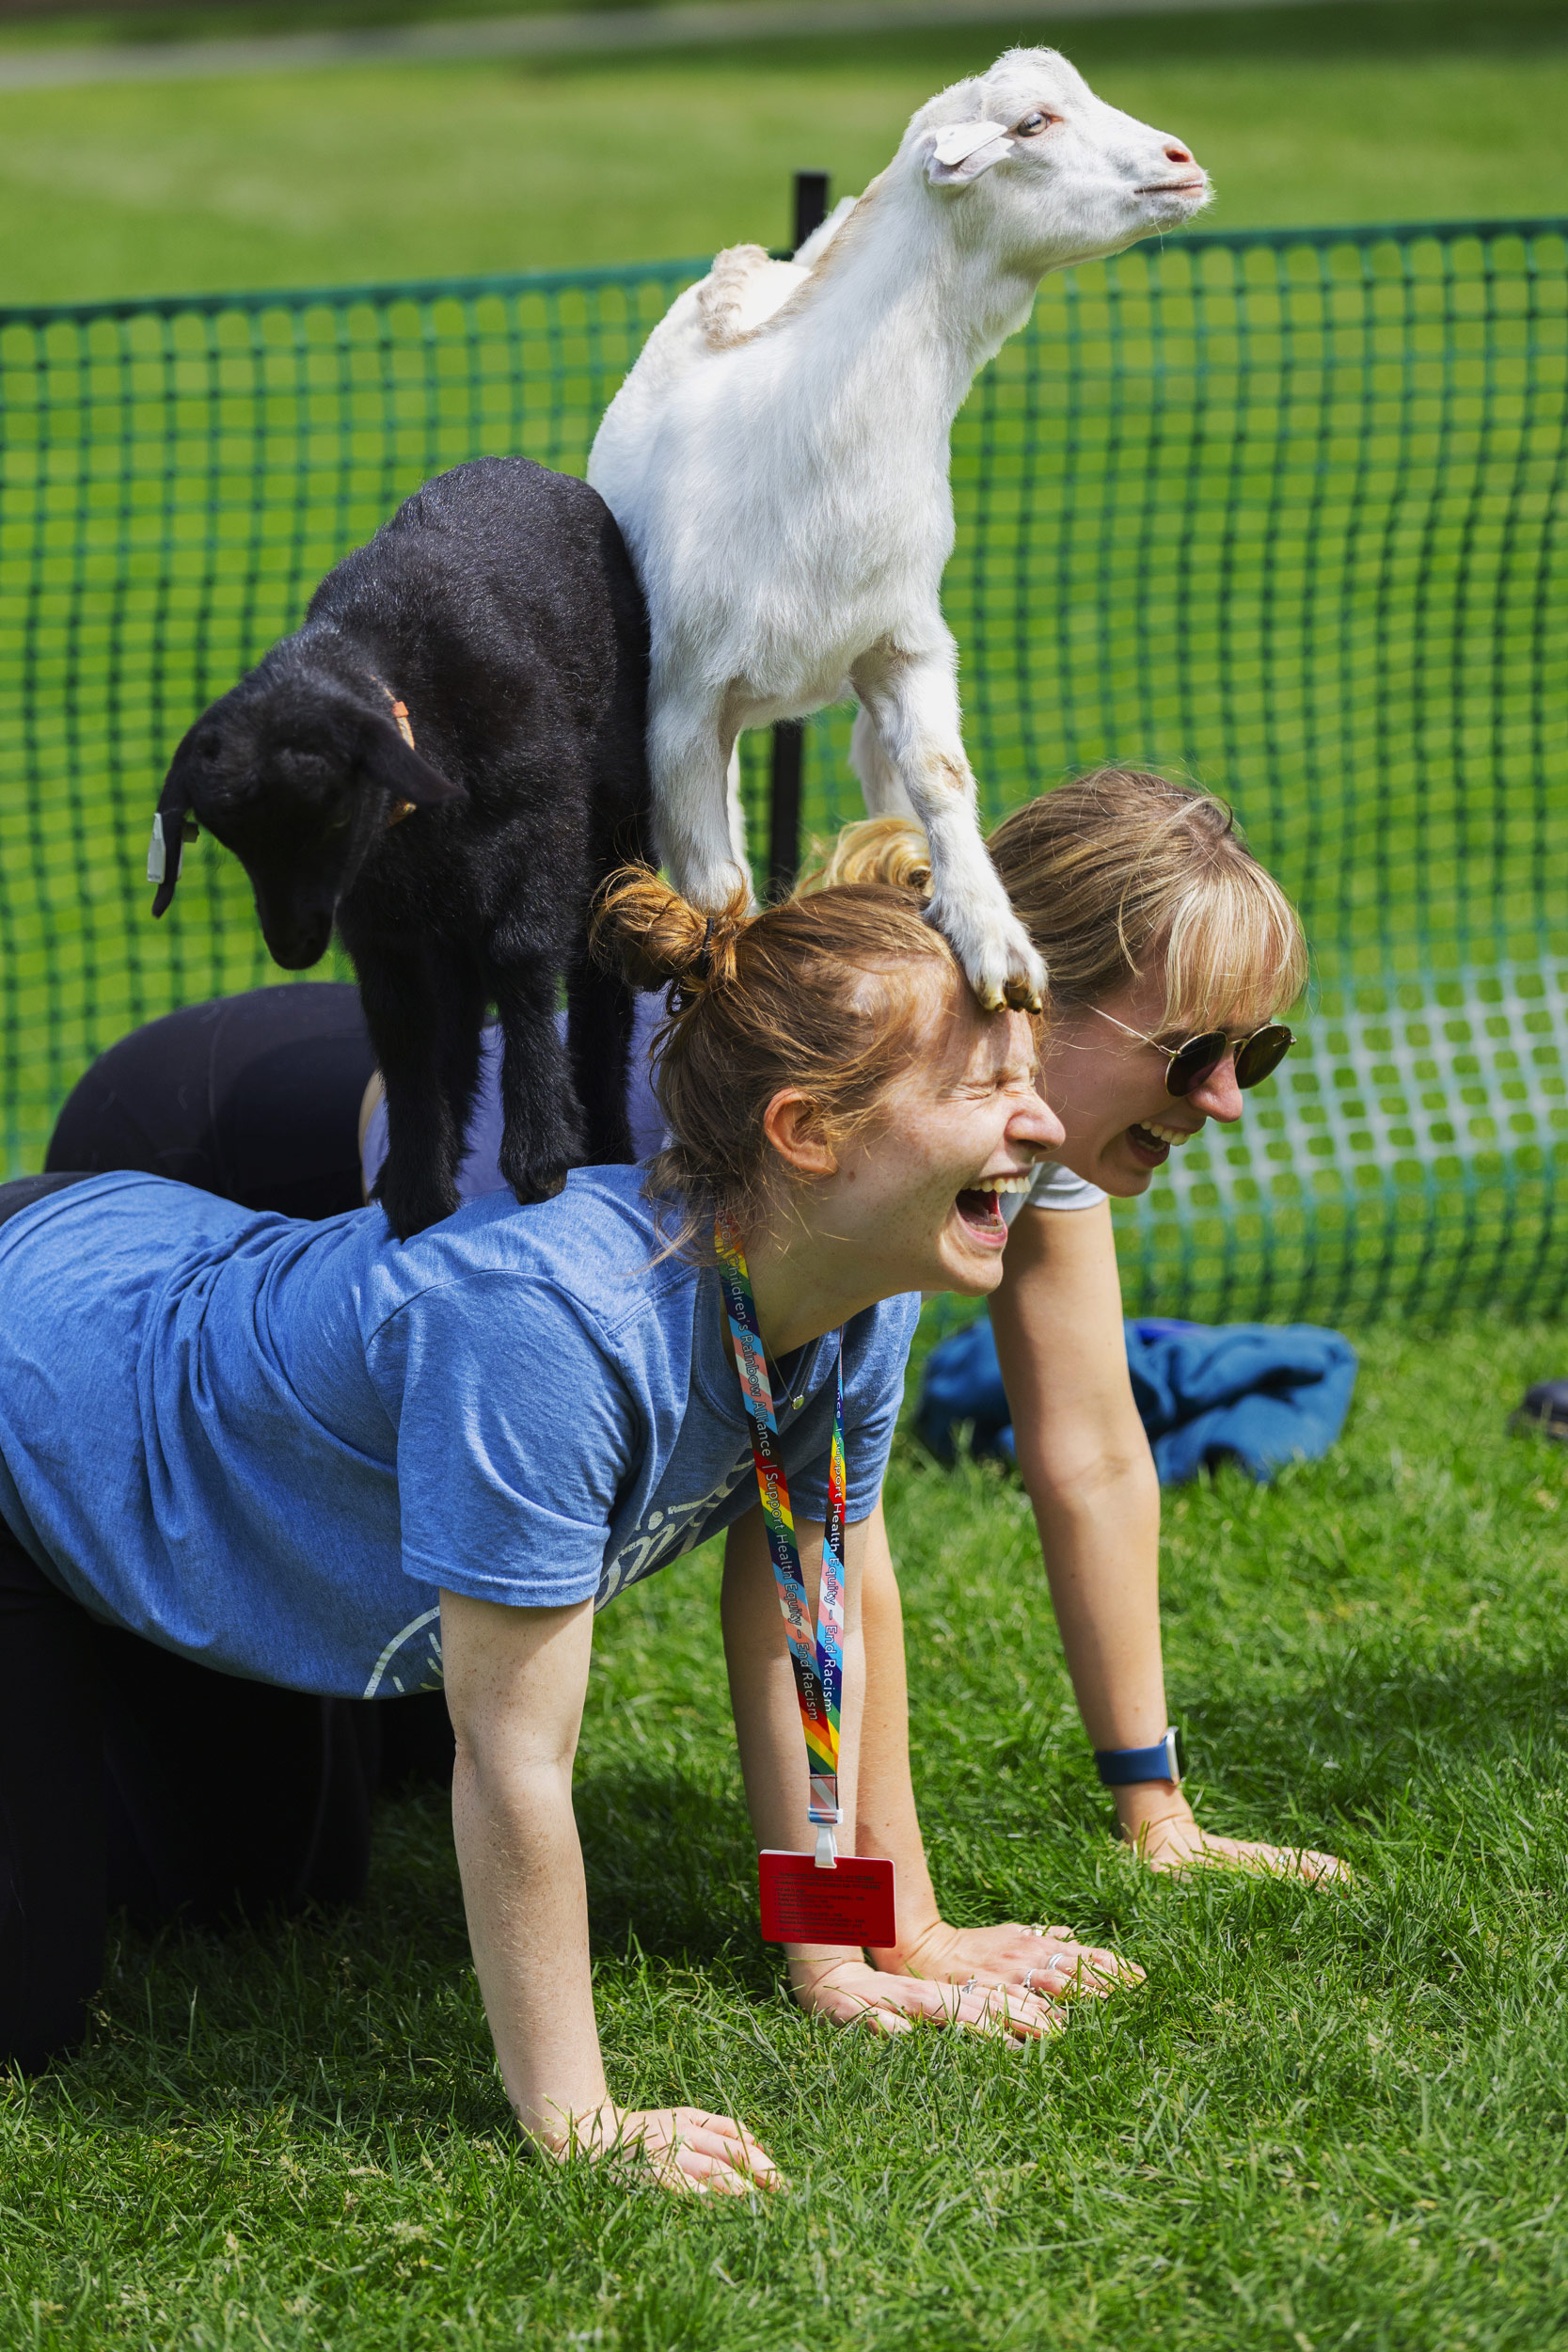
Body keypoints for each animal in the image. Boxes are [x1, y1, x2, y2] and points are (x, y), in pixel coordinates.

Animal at [151, 447, 648, 1242]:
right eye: (233, 846)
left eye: (330, 817)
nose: (292, 946)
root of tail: (519, 464)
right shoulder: (374, 911)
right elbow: (399, 1021)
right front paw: (417, 1190)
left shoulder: (544, 827)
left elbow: (521, 961)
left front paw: (539, 1154)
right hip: (443, 909)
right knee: (453, 1011)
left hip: (612, 821)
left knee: (599, 986)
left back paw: (602, 1139)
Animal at [587, 41, 1212, 1007]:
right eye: (1032, 123)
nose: (1182, 161)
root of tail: (756, 264)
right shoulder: (682, 708)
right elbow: (716, 888)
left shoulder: (906, 641)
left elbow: (941, 774)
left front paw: (994, 943)